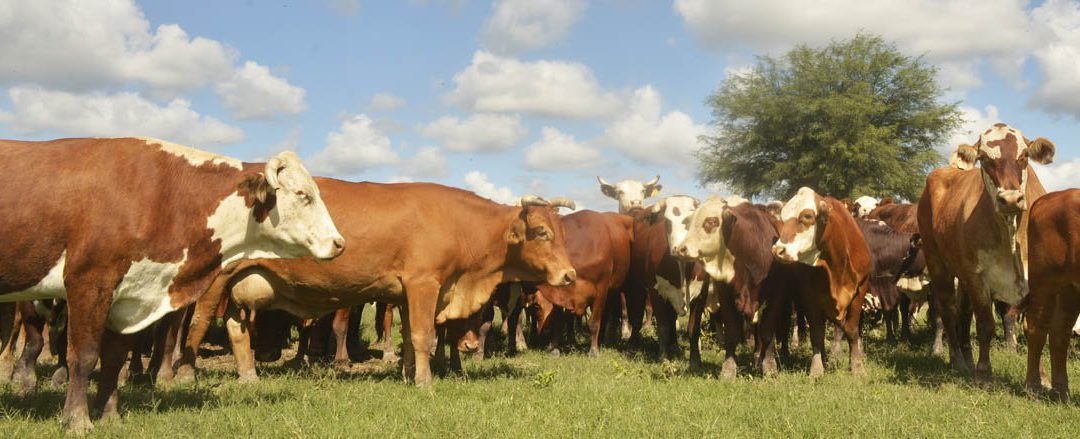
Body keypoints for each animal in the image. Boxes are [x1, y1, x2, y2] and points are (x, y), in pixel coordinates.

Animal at [172, 180, 578, 384]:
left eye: (561, 232)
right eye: (541, 232)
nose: (570, 274)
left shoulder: (406, 292)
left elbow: (408, 337)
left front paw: (408, 373)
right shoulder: (423, 284)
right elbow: (423, 335)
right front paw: (424, 382)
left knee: (236, 330)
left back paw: (249, 377)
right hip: (216, 281)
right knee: (199, 322)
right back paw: (186, 374)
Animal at [529, 208, 630, 356]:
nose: (542, 333)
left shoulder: (602, 287)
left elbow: (594, 321)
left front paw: (593, 351)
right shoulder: (560, 293)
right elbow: (559, 321)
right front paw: (555, 348)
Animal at [773, 187, 872, 376]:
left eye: (807, 216)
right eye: (783, 218)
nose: (778, 250)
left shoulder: (860, 290)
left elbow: (851, 330)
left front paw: (857, 367)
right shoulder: (810, 296)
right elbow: (817, 333)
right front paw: (817, 369)